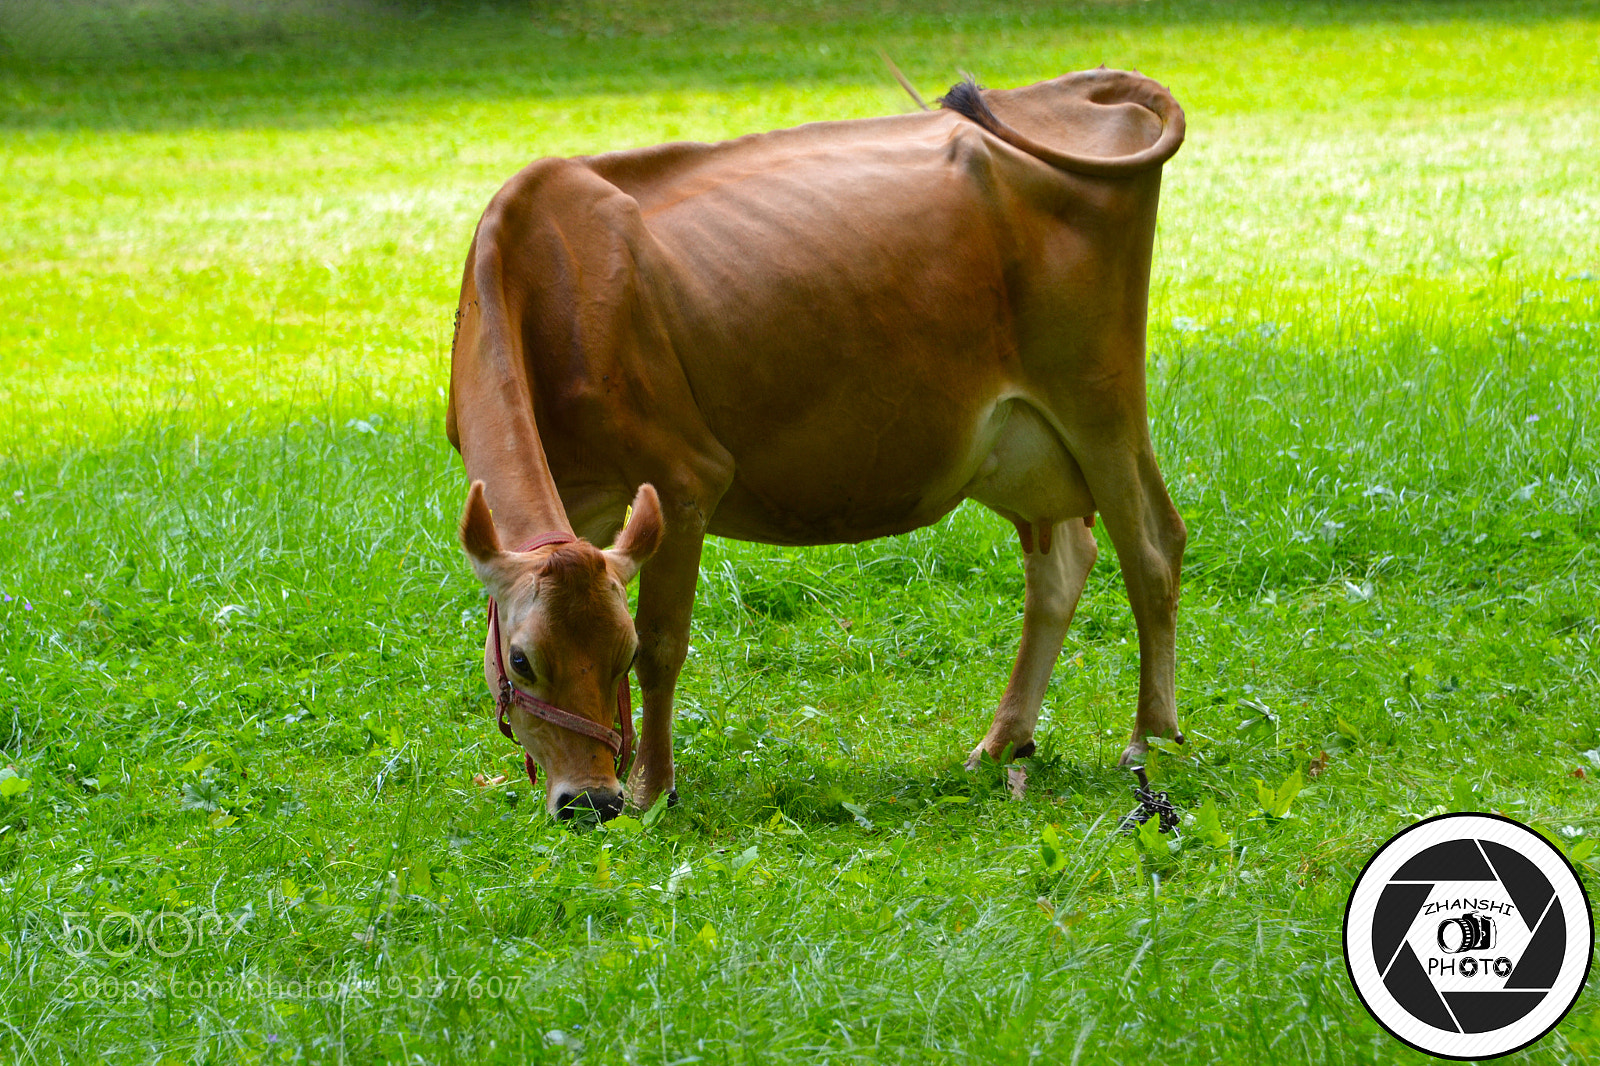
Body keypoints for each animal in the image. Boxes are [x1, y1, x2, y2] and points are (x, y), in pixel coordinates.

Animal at [447, 68, 1188, 820]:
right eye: (521, 661)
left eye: (619, 654)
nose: (592, 801)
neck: (552, 284)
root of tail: (1066, 92)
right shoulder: (588, 496)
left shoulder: (685, 476)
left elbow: (666, 644)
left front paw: (654, 791)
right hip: (1024, 444)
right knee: (1062, 565)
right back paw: (1000, 744)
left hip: (1098, 398)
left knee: (1153, 548)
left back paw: (1148, 740)